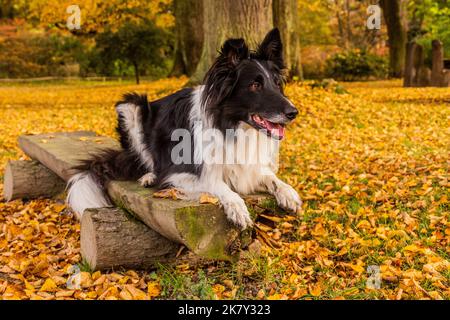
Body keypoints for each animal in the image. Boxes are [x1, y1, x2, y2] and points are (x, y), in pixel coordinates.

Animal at [67, 28, 302, 229]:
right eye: (255, 85)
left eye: (276, 83)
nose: (293, 112)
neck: (232, 127)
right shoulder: (180, 173)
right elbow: (218, 184)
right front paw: (236, 206)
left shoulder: (250, 168)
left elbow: (271, 178)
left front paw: (288, 192)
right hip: (132, 106)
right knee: (144, 159)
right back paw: (149, 176)